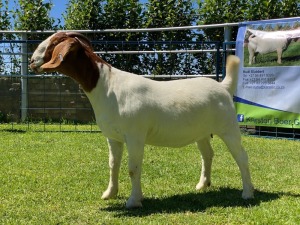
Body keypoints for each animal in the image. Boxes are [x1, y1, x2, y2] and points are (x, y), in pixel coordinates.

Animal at [30, 32, 254, 209]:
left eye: (52, 43)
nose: (32, 61)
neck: (107, 86)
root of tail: (223, 86)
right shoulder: (113, 137)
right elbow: (113, 164)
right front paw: (109, 193)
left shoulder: (135, 135)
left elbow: (133, 168)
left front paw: (134, 201)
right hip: (202, 133)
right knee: (207, 155)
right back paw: (202, 185)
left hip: (228, 127)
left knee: (242, 157)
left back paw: (248, 193)